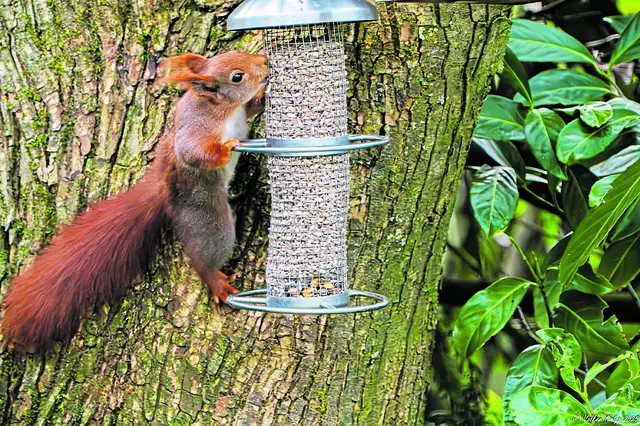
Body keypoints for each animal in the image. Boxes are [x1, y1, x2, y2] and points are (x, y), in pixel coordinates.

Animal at [1, 51, 269, 351]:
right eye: (237, 76)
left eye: (239, 55)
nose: (265, 62)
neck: (223, 107)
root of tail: (163, 190)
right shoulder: (198, 126)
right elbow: (193, 152)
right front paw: (226, 148)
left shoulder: (240, 114)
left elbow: (250, 110)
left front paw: (261, 98)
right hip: (209, 220)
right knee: (204, 259)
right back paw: (217, 284)